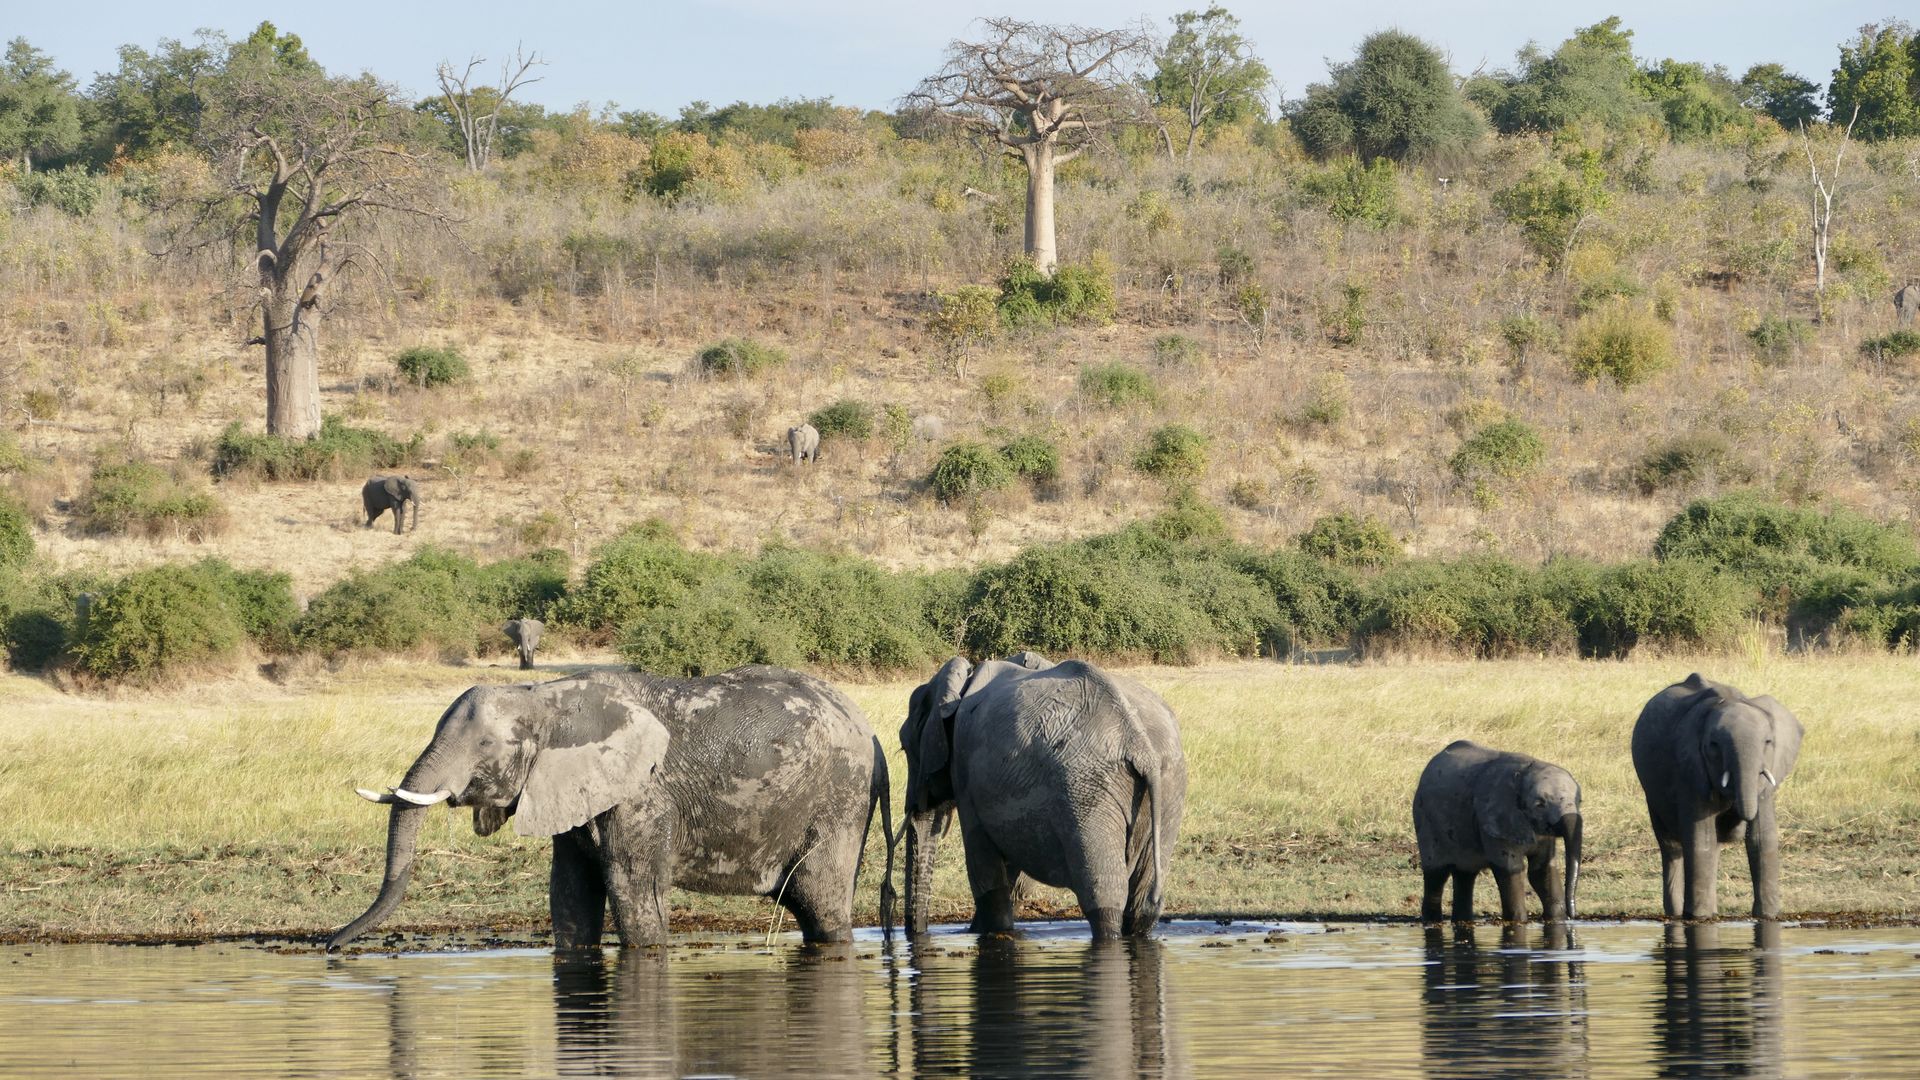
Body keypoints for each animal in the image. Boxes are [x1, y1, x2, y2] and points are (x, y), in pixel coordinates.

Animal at [326, 661, 894, 945]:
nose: (330, 948)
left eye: (485, 745)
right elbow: (570, 893)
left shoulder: (641, 794)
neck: (544, 696)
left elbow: (631, 888)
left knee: (820, 900)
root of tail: (872, 735)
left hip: (838, 799)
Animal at [898, 645, 1182, 933]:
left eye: (906, 747)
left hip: (1086, 792)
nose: (916, 933)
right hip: (1169, 784)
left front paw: (993, 932)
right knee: (1142, 902)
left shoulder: (965, 770)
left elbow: (984, 868)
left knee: (1104, 893)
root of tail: (1140, 745)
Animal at [1405, 734, 1582, 922]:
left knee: (1465, 875)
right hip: (1425, 820)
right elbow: (1511, 869)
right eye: (1540, 804)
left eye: (1579, 801)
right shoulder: (1493, 823)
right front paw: (1518, 921)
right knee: (1436, 874)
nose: (1573, 914)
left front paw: (1557, 919)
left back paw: (1462, 920)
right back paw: (1432, 921)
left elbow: (1542, 870)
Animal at [1628, 672, 1804, 914]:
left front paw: (1769, 916)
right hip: (1652, 793)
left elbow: (1762, 838)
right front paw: (1700, 917)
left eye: (1768, 742)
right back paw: (1678, 914)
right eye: (1714, 745)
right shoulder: (1690, 769)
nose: (1738, 819)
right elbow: (1701, 838)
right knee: (1672, 846)